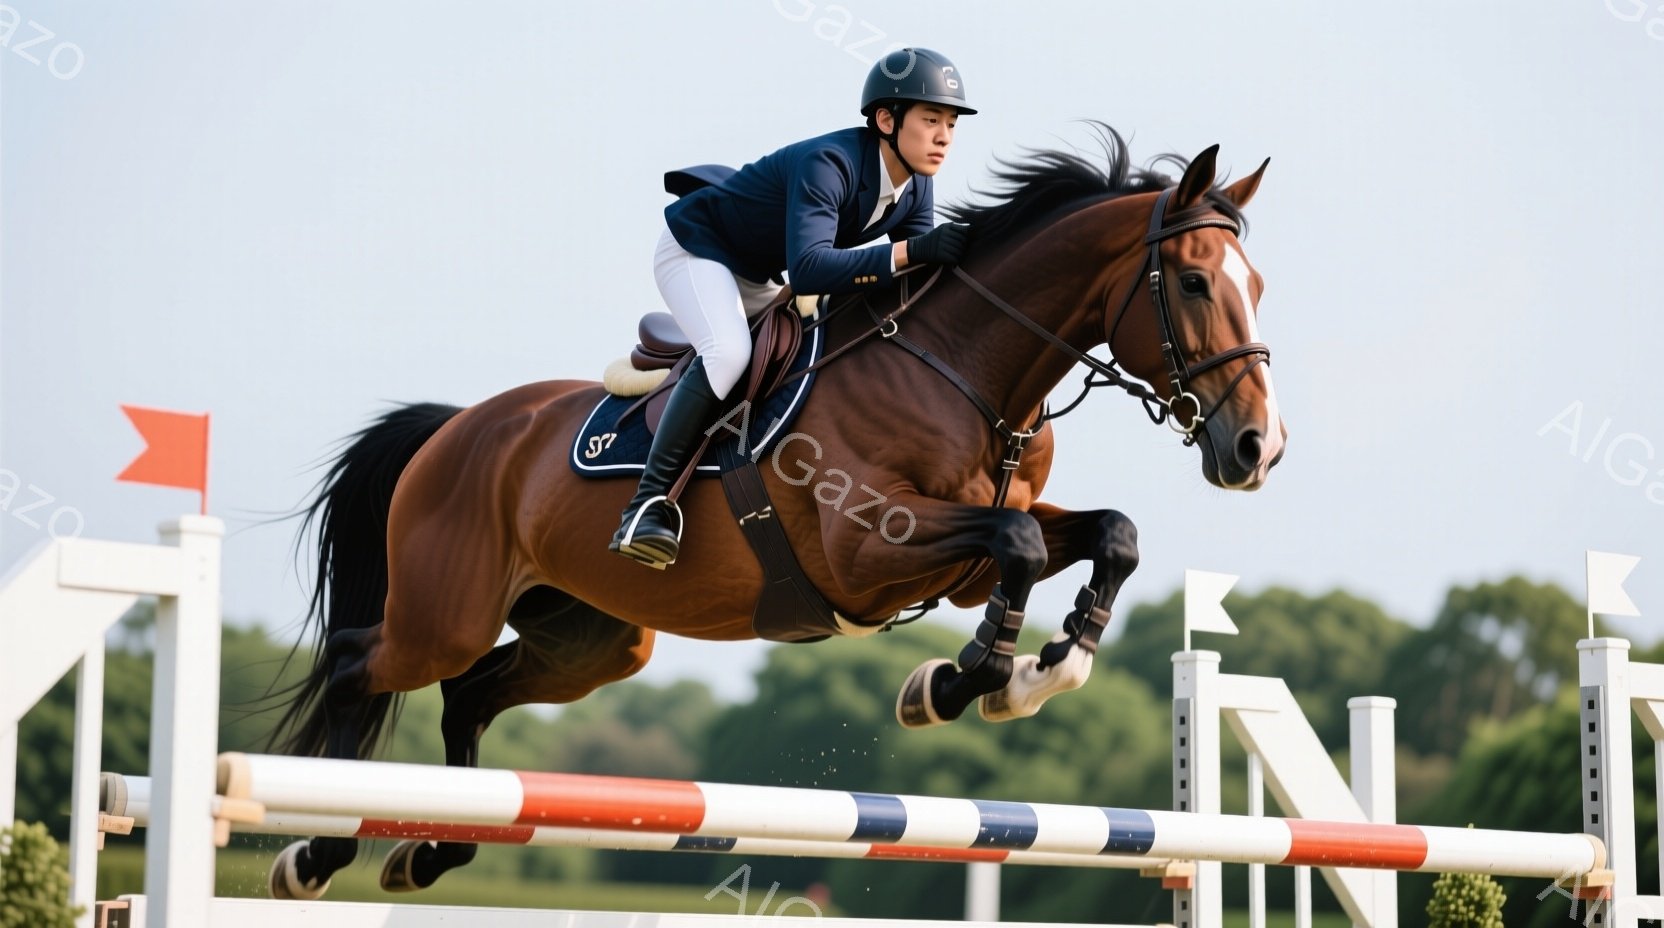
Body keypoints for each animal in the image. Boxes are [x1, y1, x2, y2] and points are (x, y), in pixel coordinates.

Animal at [265, 126, 1286, 900]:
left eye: (1257, 286)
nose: (1256, 450)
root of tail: (456, 426)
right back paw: (315, 852)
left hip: (593, 639)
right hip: (446, 612)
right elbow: (1023, 542)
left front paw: (1035, 673)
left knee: (471, 694)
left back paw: (434, 849)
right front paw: (963, 683)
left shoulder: (962, 561)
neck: (967, 370)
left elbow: (1107, 534)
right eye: (1195, 282)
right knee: (361, 664)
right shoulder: (871, 549)